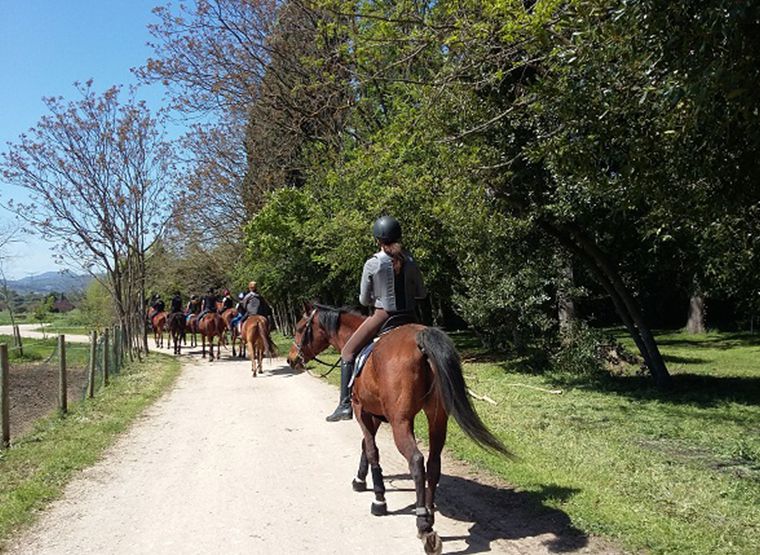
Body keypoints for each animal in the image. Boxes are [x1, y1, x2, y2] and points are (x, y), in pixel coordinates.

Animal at [286, 306, 510, 552]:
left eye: (300, 328)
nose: (291, 359)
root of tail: (420, 339)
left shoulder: (361, 409)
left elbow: (371, 450)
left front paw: (378, 499)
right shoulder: (375, 413)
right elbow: (365, 446)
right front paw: (360, 480)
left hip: (399, 422)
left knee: (416, 460)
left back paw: (423, 525)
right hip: (437, 419)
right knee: (433, 464)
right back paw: (429, 514)